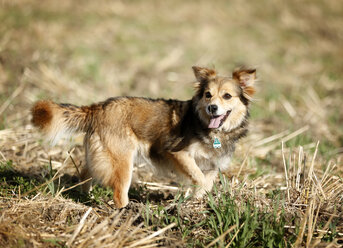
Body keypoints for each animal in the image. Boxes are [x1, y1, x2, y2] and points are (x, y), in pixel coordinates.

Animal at [31, 66, 255, 207]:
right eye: (208, 95)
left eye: (227, 96)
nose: (212, 108)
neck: (211, 130)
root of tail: (98, 107)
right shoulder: (178, 153)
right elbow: (199, 179)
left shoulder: (212, 166)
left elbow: (203, 183)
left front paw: (197, 203)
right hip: (122, 162)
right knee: (119, 193)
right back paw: (125, 213)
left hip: (99, 155)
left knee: (86, 173)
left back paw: (86, 197)